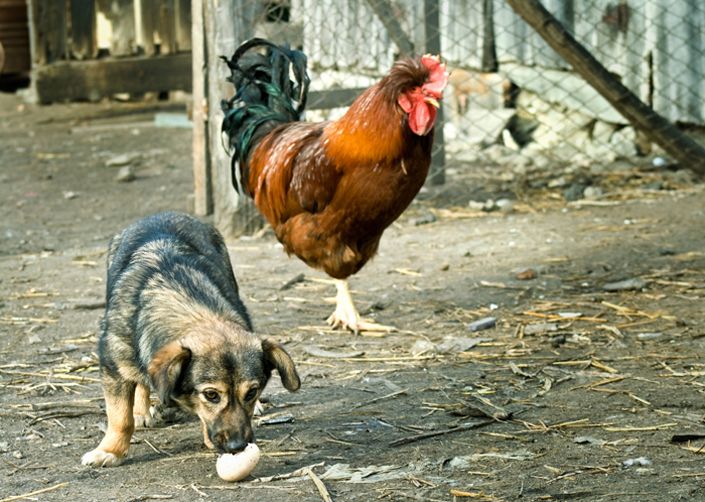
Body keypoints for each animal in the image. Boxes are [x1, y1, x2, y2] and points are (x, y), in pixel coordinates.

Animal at [82, 211, 300, 466]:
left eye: (251, 392)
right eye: (211, 395)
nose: (237, 447)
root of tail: (164, 213)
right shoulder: (112, 367)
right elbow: (120, 417)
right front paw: (110, 450)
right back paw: (141, 410)